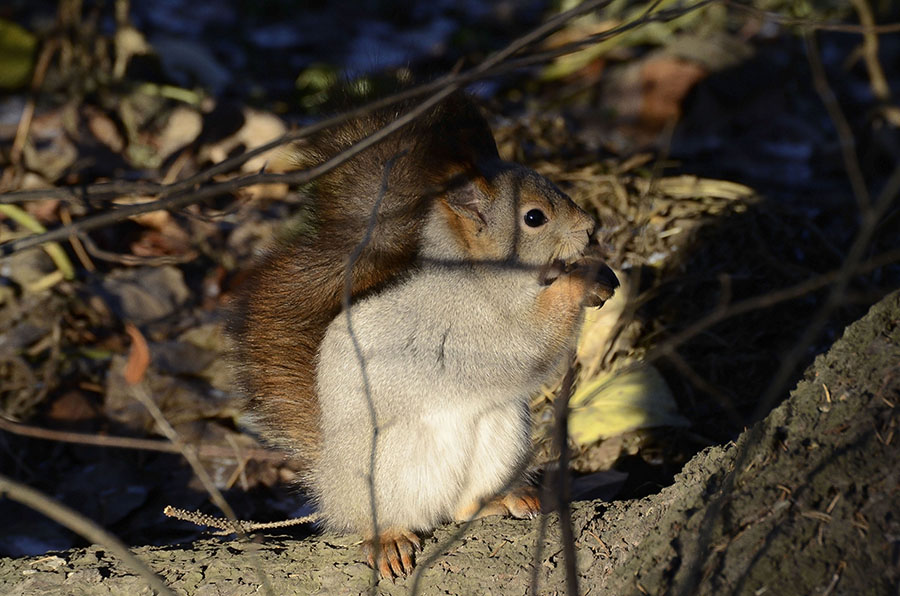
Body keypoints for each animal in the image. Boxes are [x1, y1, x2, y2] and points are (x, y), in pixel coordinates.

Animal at [227, 92, 620, 576]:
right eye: (534, 217)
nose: (590, 228)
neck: (484, 274)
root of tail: (332, 482)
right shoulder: (473, 326)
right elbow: (529, 342)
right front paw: (580, 280)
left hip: (502, 437)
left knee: (460, 508)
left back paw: (504, 499)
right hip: (384, 469)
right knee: (384, 519)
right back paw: (389, 540)